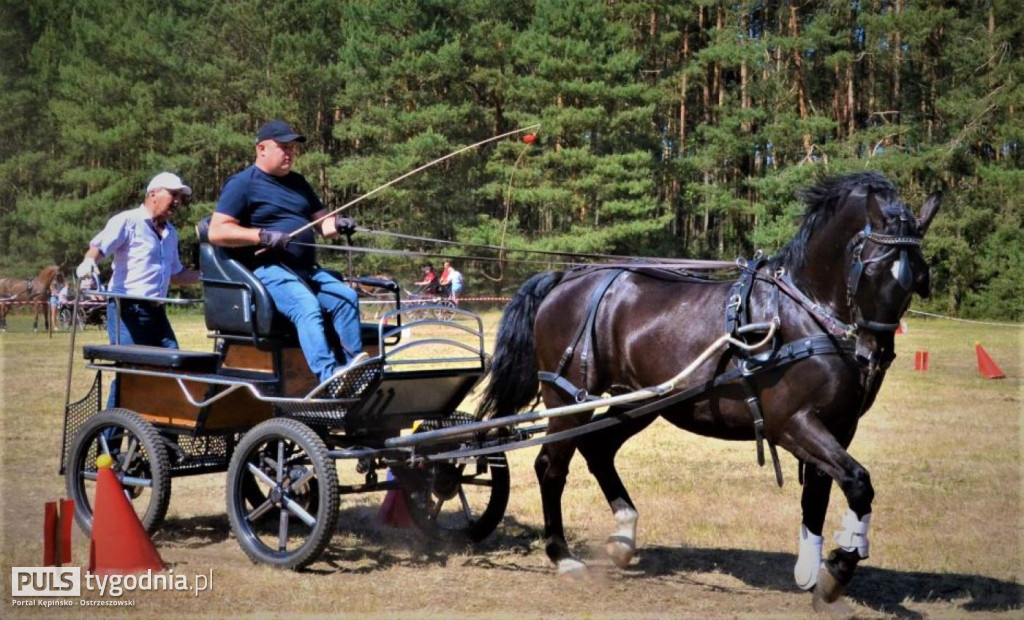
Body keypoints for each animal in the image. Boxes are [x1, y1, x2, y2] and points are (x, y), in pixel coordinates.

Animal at [475, 172, 937, 610]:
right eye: (872, 269)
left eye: (918, 276)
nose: (874, 356)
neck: (803, 312)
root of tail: (565, 279)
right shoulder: (792, 423)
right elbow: (858, 483)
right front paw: (839, 568)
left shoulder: (838, 427)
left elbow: (818, 495)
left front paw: (813, 573)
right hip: (569, 399)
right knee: (550, 467)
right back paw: (563, 556)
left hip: (642, 401)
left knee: (597, 449)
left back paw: (623, 537)